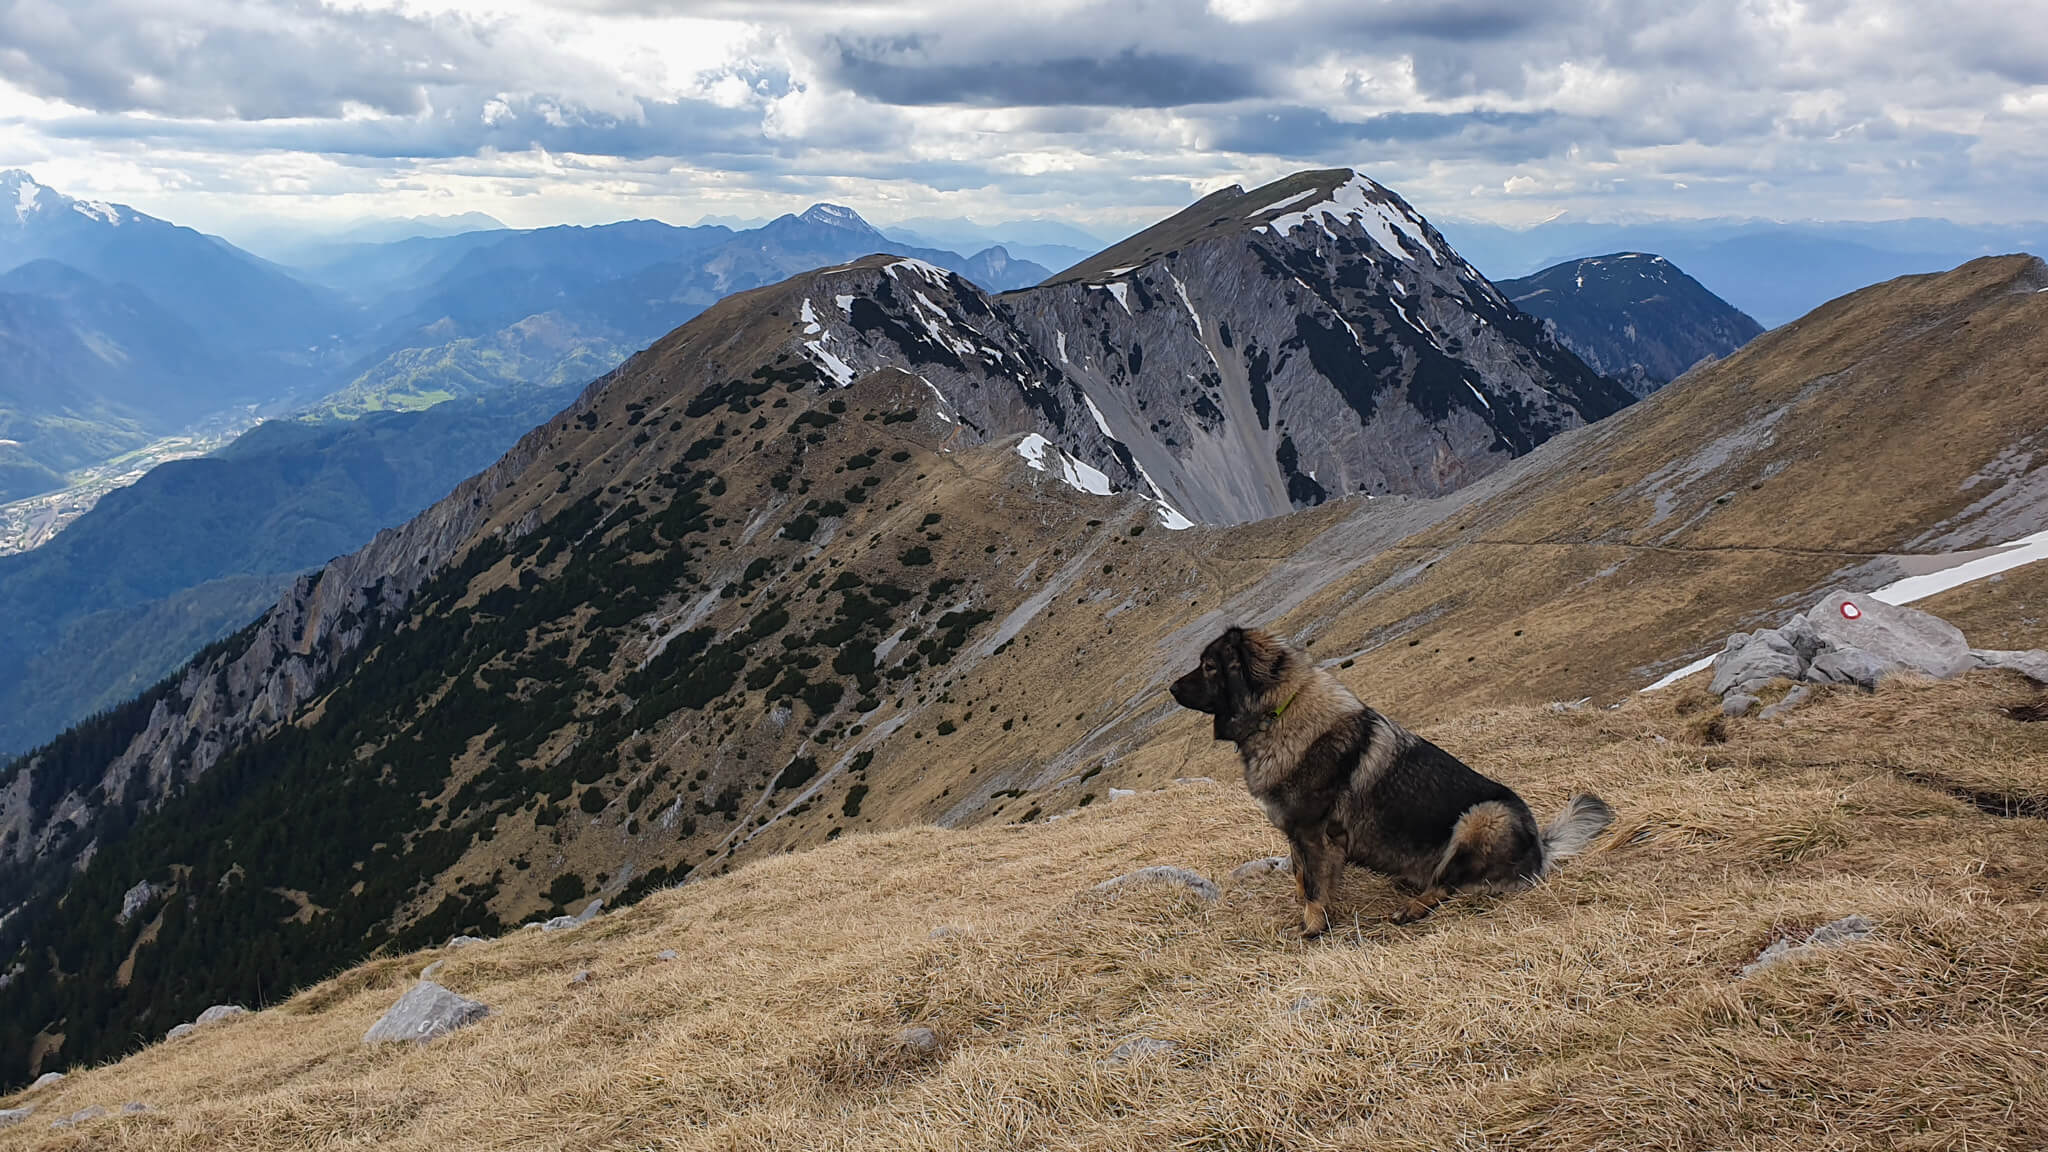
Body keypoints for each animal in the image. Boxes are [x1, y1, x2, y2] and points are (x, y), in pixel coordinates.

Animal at [1171, 627, 1613, 934]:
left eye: (1210, 666)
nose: (1171, 687)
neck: (1276, 714)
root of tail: (1540, 849)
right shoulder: (1297, 833)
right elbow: (1299, 873)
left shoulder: (1313, 831)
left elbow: (1313, 882)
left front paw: (1312, 926)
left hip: (1484, 817)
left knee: (1448, 884)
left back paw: (1412, 907)